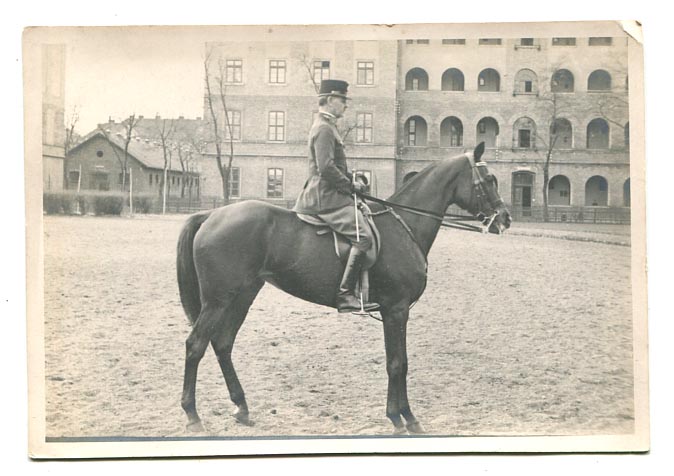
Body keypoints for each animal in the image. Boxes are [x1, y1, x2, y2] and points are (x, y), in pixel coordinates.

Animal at [175, 142, 510, 436]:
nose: (505, 218)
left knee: (223, 343)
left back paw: (242, 408)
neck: (404, 225)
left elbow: (399, 362)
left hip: (242, 295)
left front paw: (403, 417)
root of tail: (211, 215)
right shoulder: (396, 309)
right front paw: (401, 418)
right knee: (195, 345)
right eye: (489, 179)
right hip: (218, 300)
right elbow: (397, 364)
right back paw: (193, 415)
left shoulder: (395, 311)